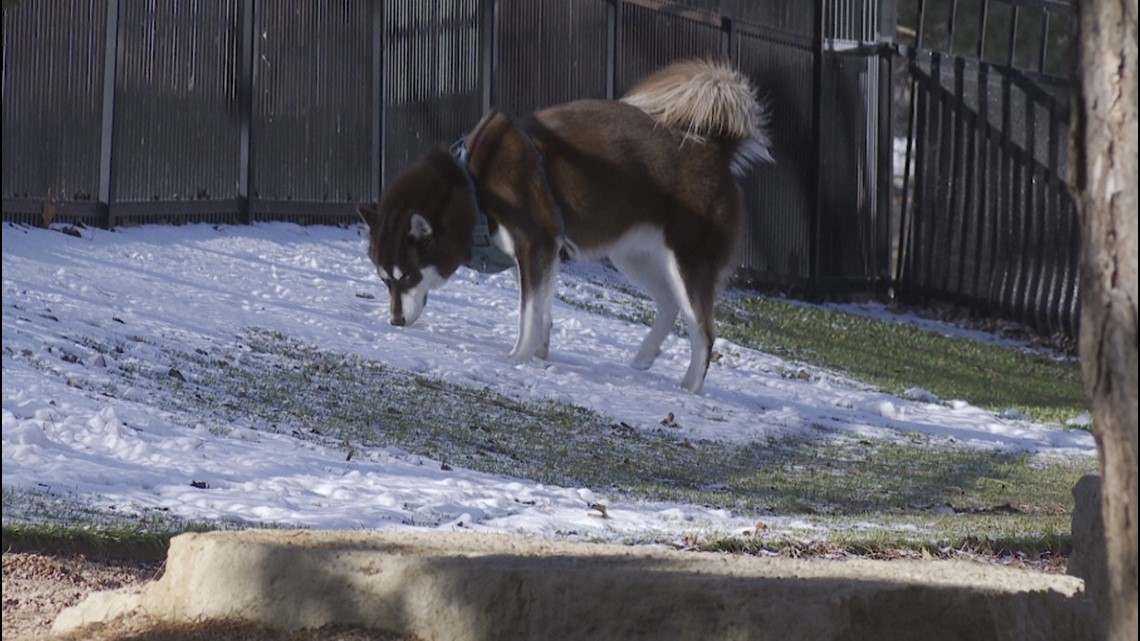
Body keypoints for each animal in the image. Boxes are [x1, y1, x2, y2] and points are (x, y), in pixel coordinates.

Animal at [362, 59, 775, 392]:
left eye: (408, 277)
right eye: (384, 280)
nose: (395, 321)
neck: (474, 185)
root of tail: (715, 149)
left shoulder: (537, 243)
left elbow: (528, 314)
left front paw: (516, 358)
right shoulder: (536, 253)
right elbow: (541, 308)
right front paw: (539, 353)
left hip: (687, 261)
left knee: (703, 331)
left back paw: (689, 387)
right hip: (632, 255)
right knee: (671, 304)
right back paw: (645, 354)